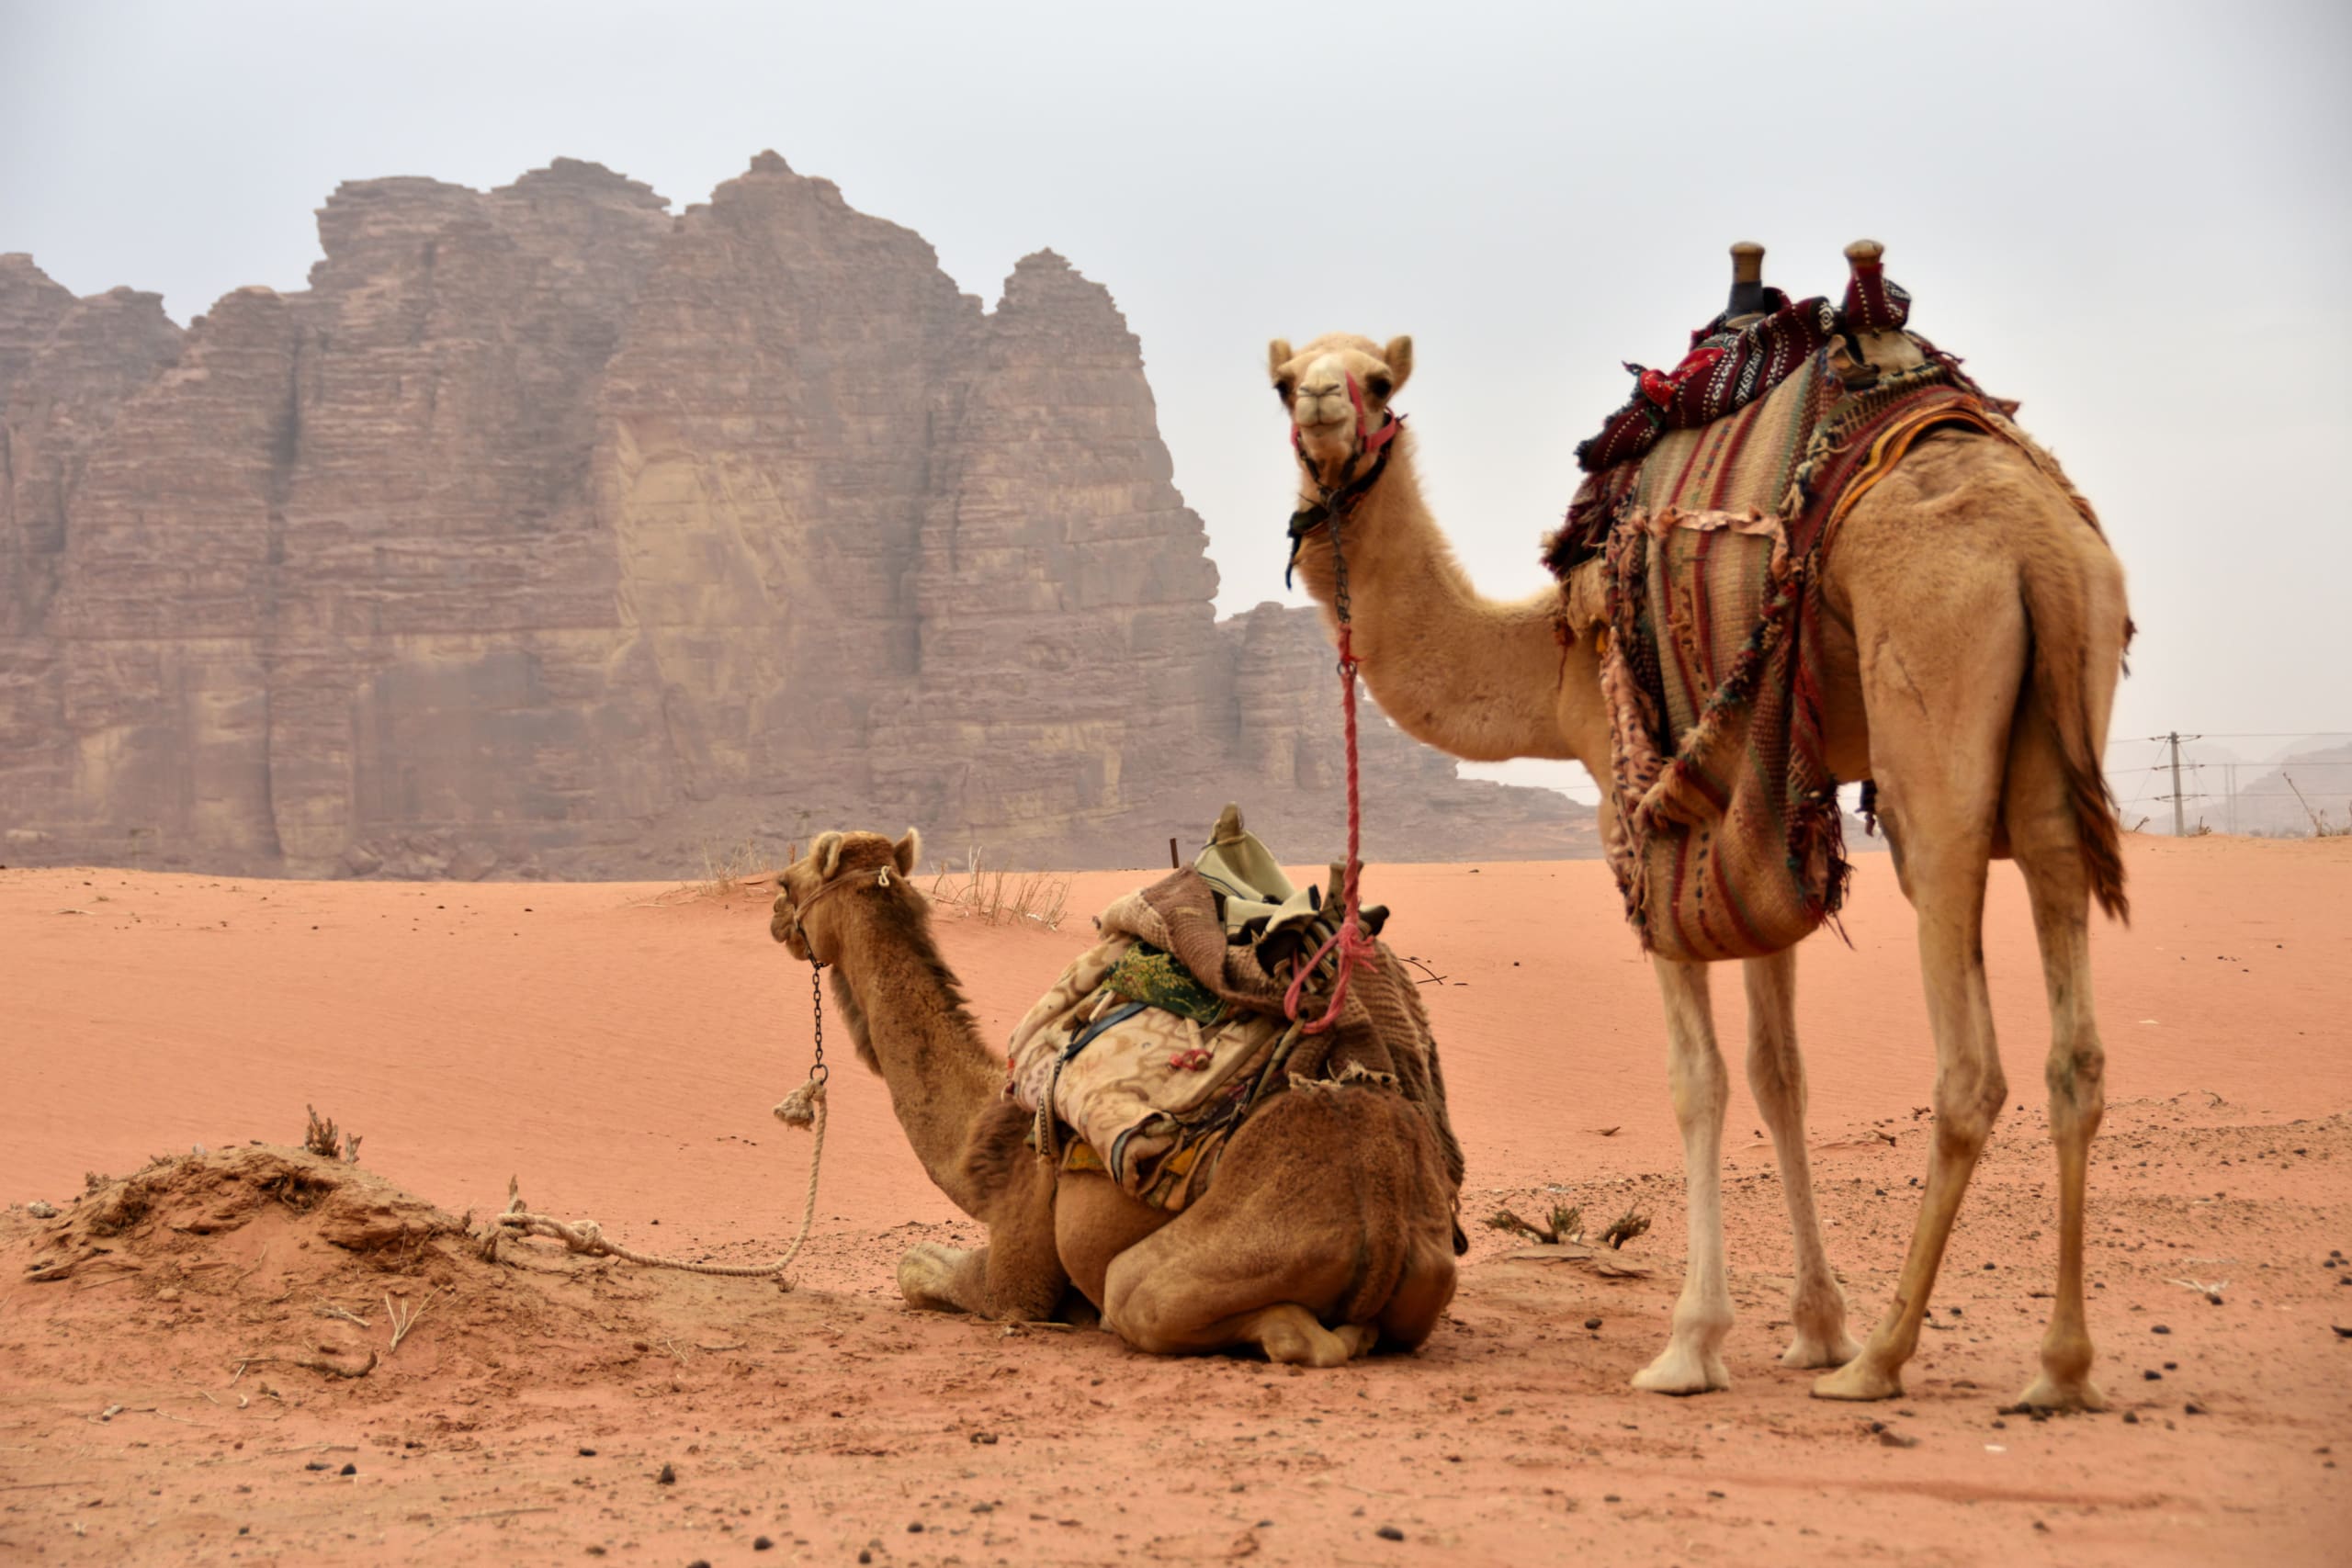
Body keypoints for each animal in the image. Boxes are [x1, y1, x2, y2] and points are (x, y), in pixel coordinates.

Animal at [768, 827, 1460, 1365]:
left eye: (786, 880)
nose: (776, 918)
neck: (979, 1141)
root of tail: (1386, 1216)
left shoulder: (1016, 1268)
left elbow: (916, 1268)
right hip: (1429, 1272)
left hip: (1187, 1265)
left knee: (1258, 1328)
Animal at [1266, 282, 2129, 1409]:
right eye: (1284, 379)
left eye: (1376, 379)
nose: (1324, 407)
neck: (1548, 655)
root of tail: (2037, 544)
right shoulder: (1764, 811)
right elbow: (1779, 1072)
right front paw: (1813, 1327)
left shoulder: (1632, 810)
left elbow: (1699, 1079)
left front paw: (1691, 1345)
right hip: (2056, 737)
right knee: (2075, 1049)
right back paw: (2058, 1366)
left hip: (1931, 730)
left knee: (1969, 1065)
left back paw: (1886, 1359)